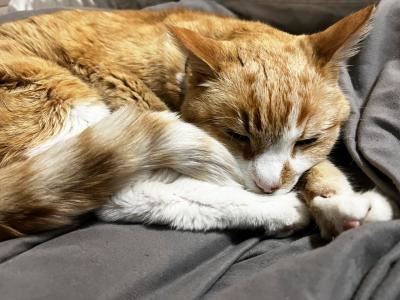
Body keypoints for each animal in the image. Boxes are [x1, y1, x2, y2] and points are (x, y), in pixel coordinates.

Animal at [0, 4, 396, 240]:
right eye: (237, 135)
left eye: (307, 141)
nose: (268, 187)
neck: (178, 73)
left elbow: (317, 168)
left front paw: (341, 203)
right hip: (68, 99)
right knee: (128, 194)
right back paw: (279, 211)